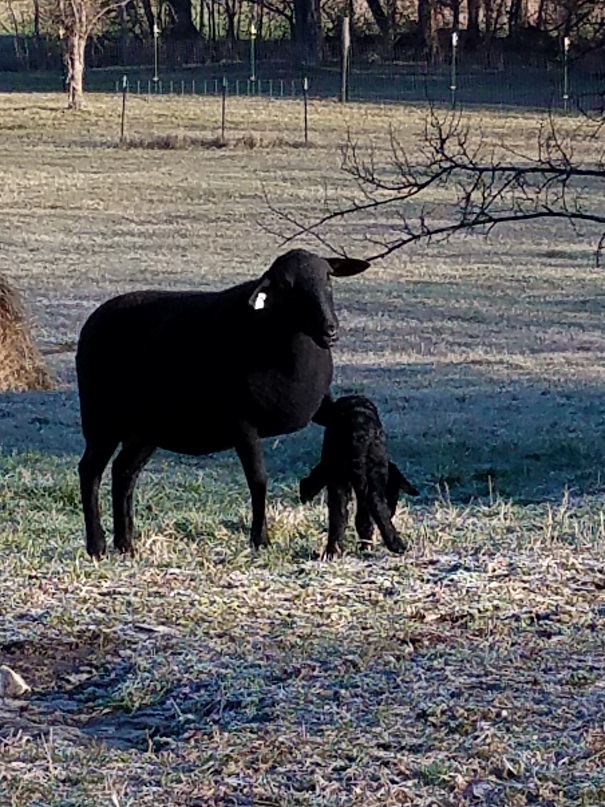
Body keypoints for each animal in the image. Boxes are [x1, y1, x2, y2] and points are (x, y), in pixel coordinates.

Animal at [75, 249, 368, 560]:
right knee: (90, 472)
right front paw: (260, 539)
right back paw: (97, 546)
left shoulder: (320, 408)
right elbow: (258, 479)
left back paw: (126, 544)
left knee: (123, 471)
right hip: (100, 418)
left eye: (328, 278)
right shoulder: (242, 423)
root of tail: (96, 316)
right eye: (286, 286)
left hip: (147, 428)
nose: (330, 329)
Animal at [300, 394, 418, 560]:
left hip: (340, 473)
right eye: (394, 495)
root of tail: (359, 434)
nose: (392, 512)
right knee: (368, 505)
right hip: (367, 470)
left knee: (340, 512)